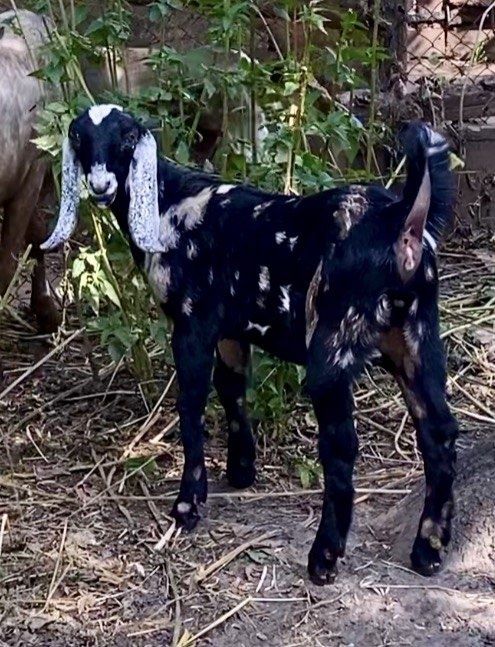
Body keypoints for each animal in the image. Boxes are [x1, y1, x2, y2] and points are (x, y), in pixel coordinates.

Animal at [42, 104, 459, 584]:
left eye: (127, 139)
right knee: (439, 432)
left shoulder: (193, 324)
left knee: (341, 446)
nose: (100, 185)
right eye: (80, 137)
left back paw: (324, 558)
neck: (171, 203)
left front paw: (188, 504)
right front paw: (241, 471)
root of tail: (402, 222)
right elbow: (232, 391)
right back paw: (428, 549)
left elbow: (191, 405)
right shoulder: (230, 331)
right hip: (415, 336)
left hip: (334, 342)